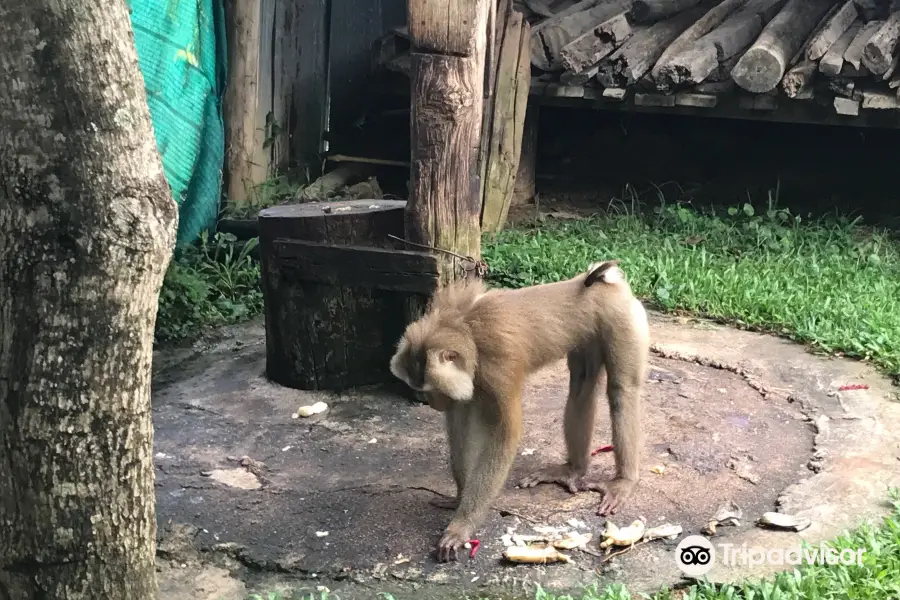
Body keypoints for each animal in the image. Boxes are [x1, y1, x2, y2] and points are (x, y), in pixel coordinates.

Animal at [386, 262, 648, 564]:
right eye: (420, 388)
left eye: (429, 388)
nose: (431, 401)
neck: (467, 331)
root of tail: (604, 281)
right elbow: (460, 424)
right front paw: (460, 498)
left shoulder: (498, 366)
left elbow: (505, 436)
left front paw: (462, 525)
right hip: (589, 333)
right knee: (581, 385)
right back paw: (573, 470)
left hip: (621, 319)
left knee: (622, 391)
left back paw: (623, 481)